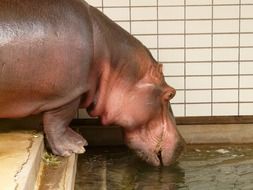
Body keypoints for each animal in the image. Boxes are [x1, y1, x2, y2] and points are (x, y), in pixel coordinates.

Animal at [0, 0, 184, 166]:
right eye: (171, 94)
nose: (182, 144)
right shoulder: (69, 93)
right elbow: (59, 121)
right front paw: (74, 148)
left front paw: (79, 141)